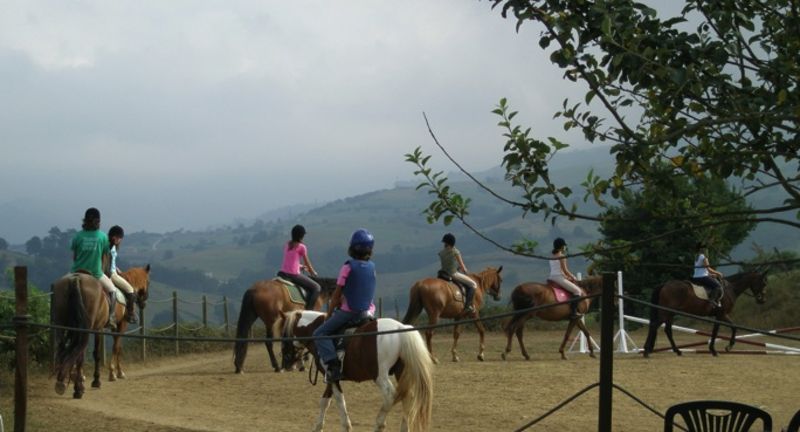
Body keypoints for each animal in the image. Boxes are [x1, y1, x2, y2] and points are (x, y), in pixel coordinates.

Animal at [280, 310, 434, 432]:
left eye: (283, 334)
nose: (286, 363)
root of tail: (400, 328)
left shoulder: (333, 377)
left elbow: (339, 401)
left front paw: (346, 426)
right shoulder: (329, 377)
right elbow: (325, 402)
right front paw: (318, 427)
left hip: (380, 376)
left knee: (391, 396)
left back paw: (379, 425)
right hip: (401, 372)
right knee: (408, 396)